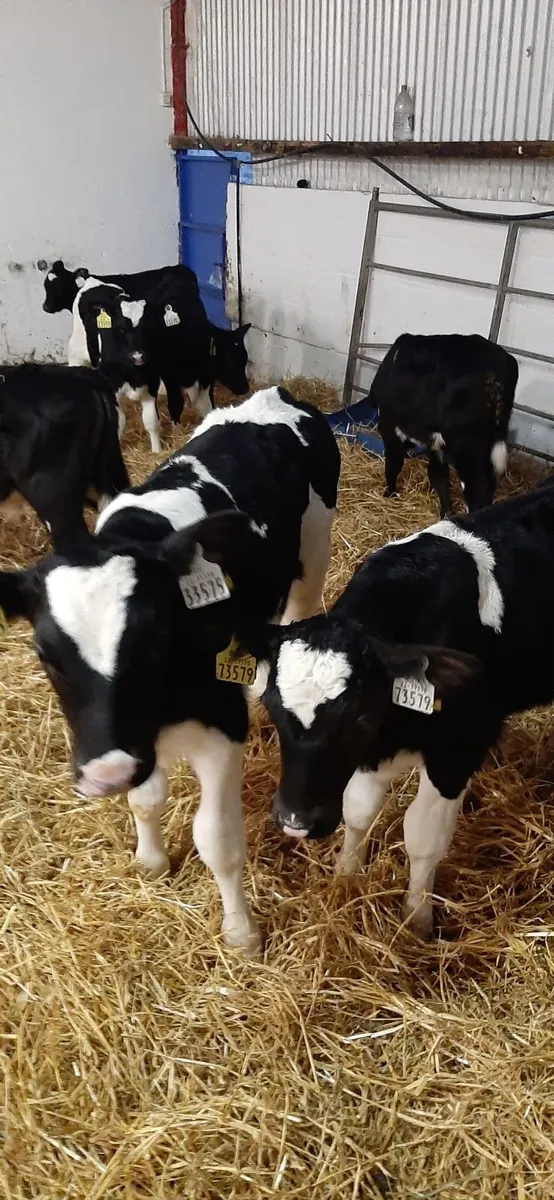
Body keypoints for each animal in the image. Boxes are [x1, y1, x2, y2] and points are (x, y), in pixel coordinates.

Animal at [0, 387, 340, 956]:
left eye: (157, 636)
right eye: (46, 655)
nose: (105, 773)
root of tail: (276, 395)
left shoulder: (220, 727)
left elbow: (217, 839)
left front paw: (241, 933)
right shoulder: (135, 737)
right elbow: (145, 799)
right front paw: (152, 860)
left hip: (313, 554)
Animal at [245, 481, 554, 938]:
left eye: (358, 717)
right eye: (271, 706)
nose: (295, 823)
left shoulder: (458, 747)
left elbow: (424, 836)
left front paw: (416, 918)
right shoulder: (374, 753)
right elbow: (357, 811)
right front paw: (347, 874)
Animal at [370, 334, 518, 516]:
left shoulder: (388, 424)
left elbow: (394, 462)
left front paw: (389, 494)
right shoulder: (435, 441)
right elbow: (438, 476)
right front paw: (446, 511)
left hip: (466, 444)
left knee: (477, 489)